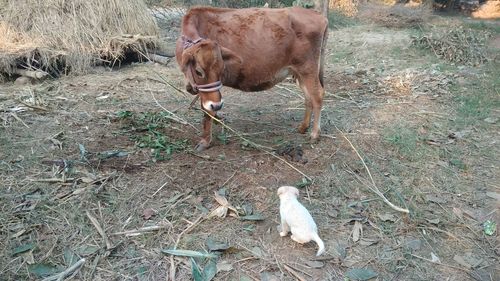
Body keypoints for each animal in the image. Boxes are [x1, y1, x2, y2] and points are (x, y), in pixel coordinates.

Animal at [176, 5, 328, 150]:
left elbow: (206, 111)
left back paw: (315, 134)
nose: (218, 105)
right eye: (198, 71)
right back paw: (303, 127)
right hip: (299, 73)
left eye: (222, 68)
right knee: (308, 97)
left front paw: (205, 141)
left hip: (308, 69)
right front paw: (217, 119)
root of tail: (319, 16)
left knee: (317, 95)